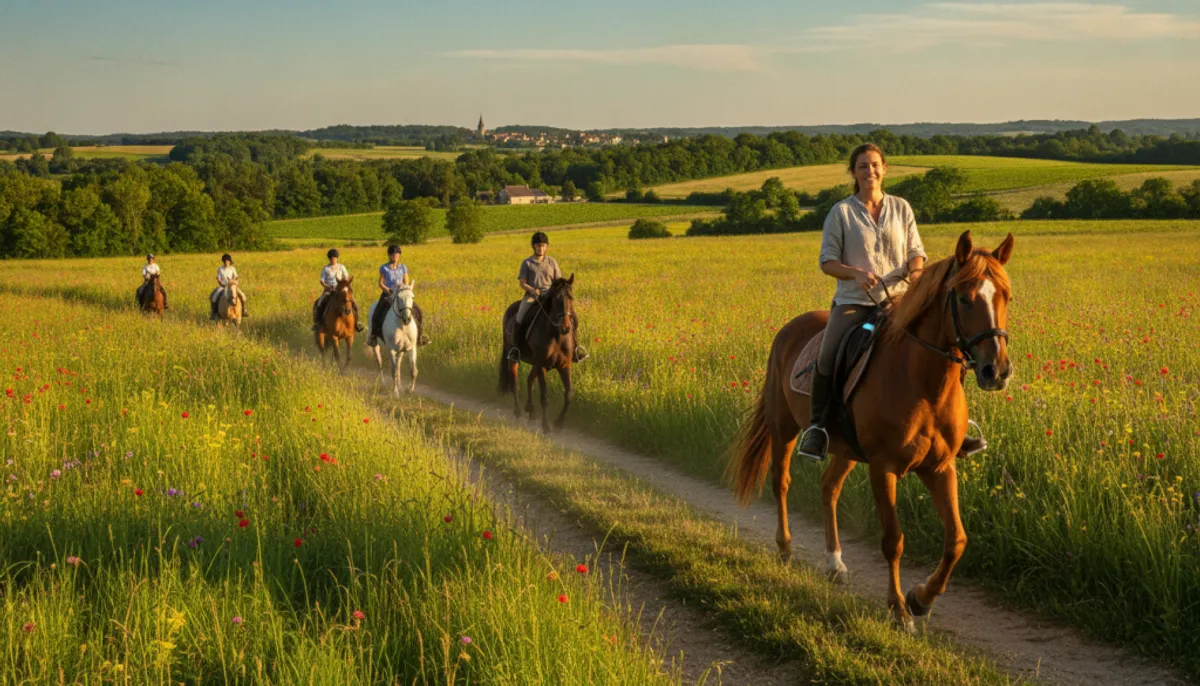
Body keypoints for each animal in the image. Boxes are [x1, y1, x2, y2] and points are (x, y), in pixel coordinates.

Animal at [499, 275, 578, 432]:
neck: (555, 335)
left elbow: (569, 394)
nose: (566, 327)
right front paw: (546, 426)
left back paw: (531, 410)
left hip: (536, 362)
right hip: (514, 357)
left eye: (571, 297)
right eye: (557, 300)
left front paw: (559, 423)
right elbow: (544, 397)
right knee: (515, 383)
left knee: (529, 379)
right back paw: (519, 412)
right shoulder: (542, 366)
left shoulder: (564, 366)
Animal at [728, 231, 1014, 633]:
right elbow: (893, 540)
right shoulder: (884, 468)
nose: (997, 371)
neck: (923, 384)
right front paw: (899, 610)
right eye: (963, 297)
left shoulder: (940, 467)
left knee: (829, 488)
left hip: (846, 448)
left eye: (1005, 296)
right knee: (781, 482)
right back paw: (784, 548)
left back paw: (835, 563)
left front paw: (921, 599)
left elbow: (956, 539)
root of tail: (788, 329)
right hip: (783, 429)